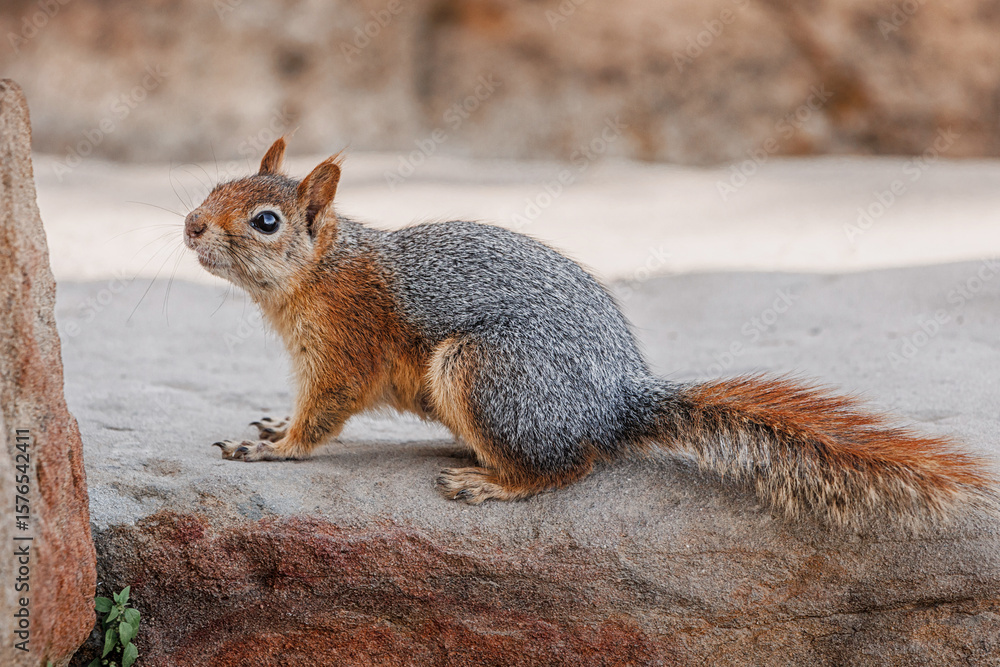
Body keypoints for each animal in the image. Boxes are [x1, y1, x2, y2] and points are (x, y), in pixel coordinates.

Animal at [183, 137, 998, 528]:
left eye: (266, 221)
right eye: (215, 186)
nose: (190, 225)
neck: (319, 271)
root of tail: (614, 404)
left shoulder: (343, 347)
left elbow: (322, 416)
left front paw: (273, 447)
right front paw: (269, 422)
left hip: (486, 371)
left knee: (564, 468)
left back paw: (490, 481)